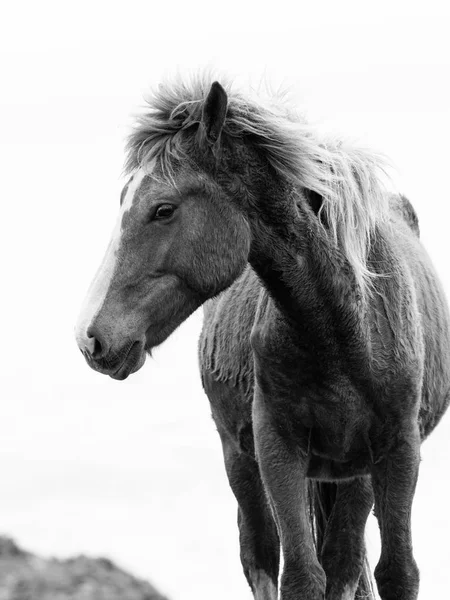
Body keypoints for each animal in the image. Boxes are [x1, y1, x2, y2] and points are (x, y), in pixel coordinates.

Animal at [74, 75, 450, 600]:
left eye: (163, 209)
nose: (92, 338)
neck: (345, 329)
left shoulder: (399, 451)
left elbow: (396, 572)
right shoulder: (277, 450)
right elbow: (299, 576)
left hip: (354, 476)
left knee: (344, 562)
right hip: (243, 463)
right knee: (263, 558)